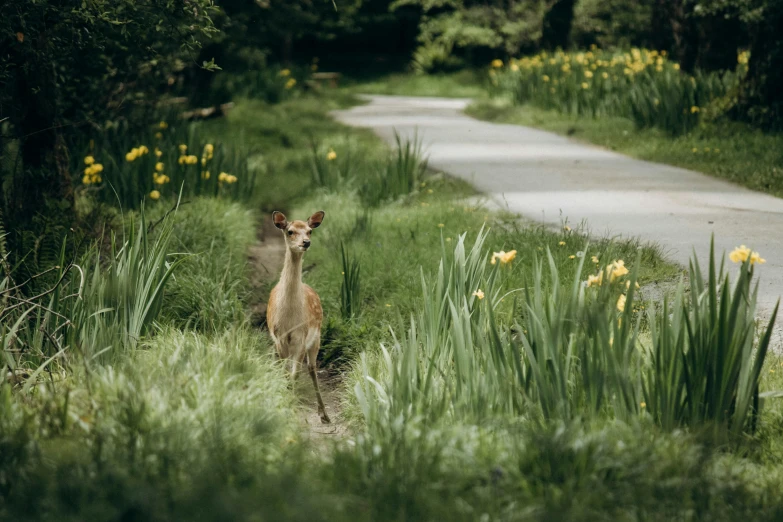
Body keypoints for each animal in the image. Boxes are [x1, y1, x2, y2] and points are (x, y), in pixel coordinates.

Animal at [268, 208, 332, 422]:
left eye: (309, 231)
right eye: (290, 231)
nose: (306, 242)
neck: (289, 318)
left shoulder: (301, 337)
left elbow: (296, 374)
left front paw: (293, 407)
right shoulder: (279, 338)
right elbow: (286, 374)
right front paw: (287, 406)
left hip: (317, 337)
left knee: (312, 369)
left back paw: (324, 414)